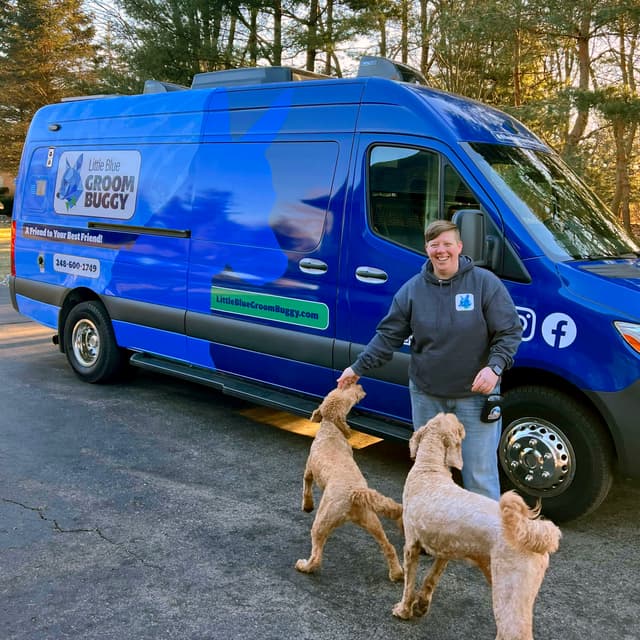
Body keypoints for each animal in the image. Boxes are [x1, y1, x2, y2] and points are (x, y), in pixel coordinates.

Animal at [294, 382, 402, 584]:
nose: (358, 386)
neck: (331, 430)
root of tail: (355, 494)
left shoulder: (309, 468)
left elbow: (306, 486)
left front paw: (307, 505)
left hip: (322, 521)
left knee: (317, 556)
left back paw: (304, 566)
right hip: (371, 520)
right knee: (389, 546)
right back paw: (397, 573)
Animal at [392, 412, 564, 636]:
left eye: (458, 426)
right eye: (439, 418)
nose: (452, 413)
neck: (429, 469)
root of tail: (534, 534)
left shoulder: (411, 545)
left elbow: (409, 583)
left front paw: (403, 610)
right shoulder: (445, 550)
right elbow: (432, 576)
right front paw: (421, 604)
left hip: (508, 590)